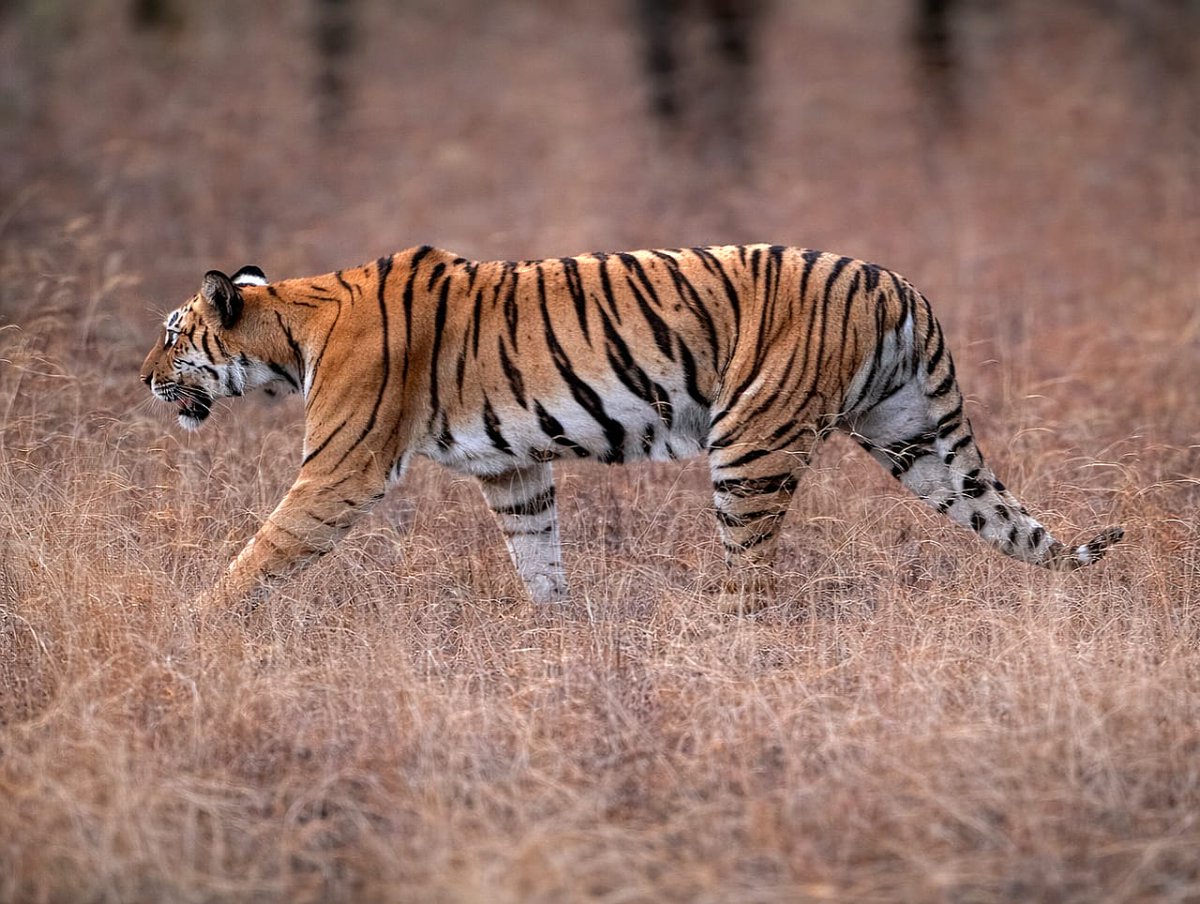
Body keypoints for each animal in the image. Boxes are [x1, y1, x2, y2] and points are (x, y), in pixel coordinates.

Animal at [140, 244, 1123, 613]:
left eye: (172, 336)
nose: (143, 379)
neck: (290, 327)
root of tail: (895, 284)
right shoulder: (515, 470)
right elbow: (537, 555)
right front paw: (557, 633)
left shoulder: (341, 466)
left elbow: (264, 547)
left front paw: (194, 626)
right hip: (915, 438)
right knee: (1006, 519)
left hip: (750, 443)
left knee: (754, 580)